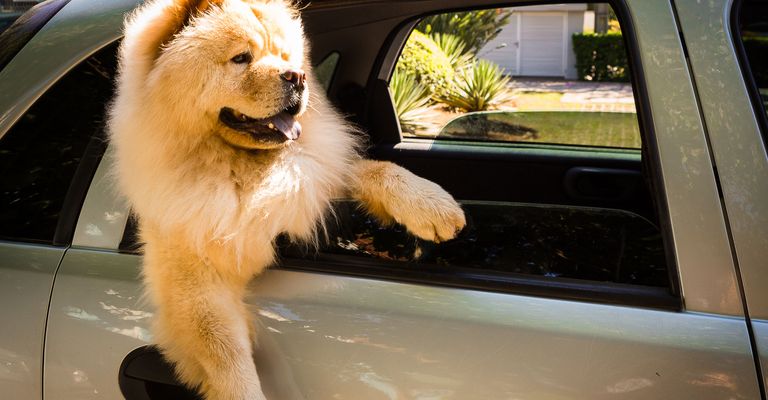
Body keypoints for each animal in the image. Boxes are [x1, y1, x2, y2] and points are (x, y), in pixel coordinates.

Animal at [109, 0, 468, 396]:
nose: (297, 76)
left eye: (284, 56)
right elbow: (225, 352)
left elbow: (373, 170)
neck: (241, 171)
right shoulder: (193, 277)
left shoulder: (311, 176)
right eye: (241, 58)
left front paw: (435, 207)